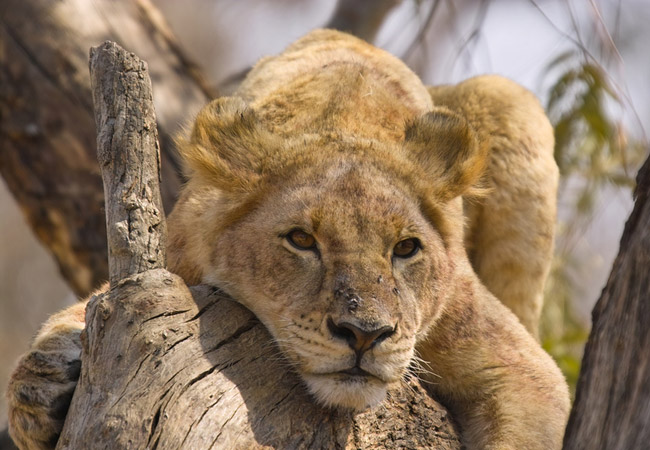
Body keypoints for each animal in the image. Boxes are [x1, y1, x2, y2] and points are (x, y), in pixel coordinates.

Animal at [7, 29, 569, 449]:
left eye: (406, 248)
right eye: (301, 240)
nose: (364, 335)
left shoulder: (518, 366)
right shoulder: (169, 269)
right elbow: (90, 307)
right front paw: (41, 385)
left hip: (506, 100)